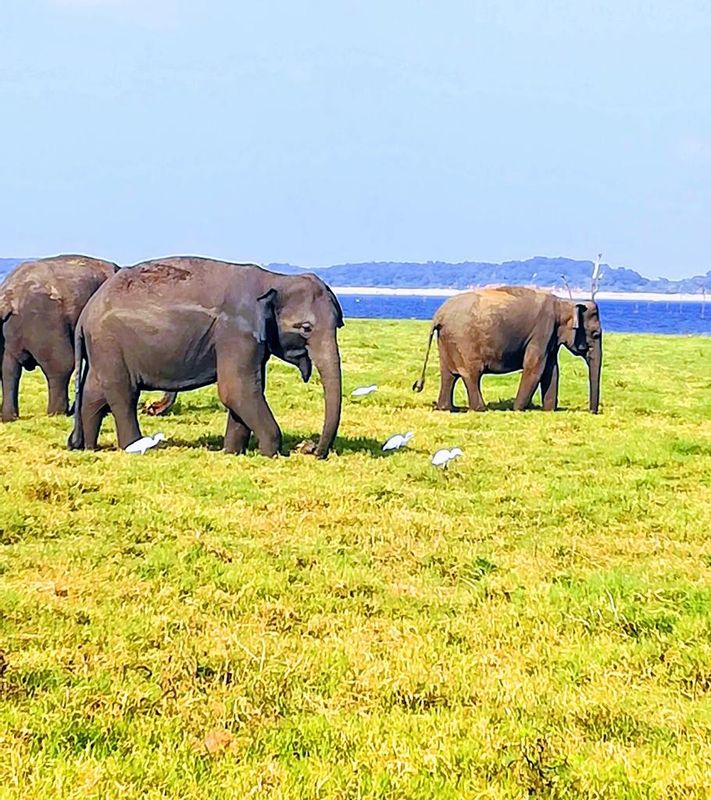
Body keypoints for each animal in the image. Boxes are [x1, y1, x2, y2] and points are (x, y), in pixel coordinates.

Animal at [0, 256, 119, 422]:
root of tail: (8, 295)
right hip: (45, 320)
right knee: (61, 364)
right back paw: (58, 413)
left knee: (9, 368)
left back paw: (9, 418)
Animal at [69, 256, 344, 456]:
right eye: (306, 328)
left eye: (339, 324)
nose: (311, 449)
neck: (275, 280)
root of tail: (86, 314)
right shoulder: (236, 333)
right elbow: (236, 390)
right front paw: (271, 454)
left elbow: (244, 391)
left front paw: (232, 453)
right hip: (110, 344)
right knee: (123, 395)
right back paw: (134, 447)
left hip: (103, 349)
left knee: (95, 395)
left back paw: (89, 448)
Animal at [414, 286, 604, 412]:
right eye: (596, 334)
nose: (592, 412)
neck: (563, 303)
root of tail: (439, 315)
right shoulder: (542, 331)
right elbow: (535, 368)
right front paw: (517, 409)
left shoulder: (550, 337)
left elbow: (551, 370)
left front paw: (549, 410)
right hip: (464, 341)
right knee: (471, 374)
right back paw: (480, 409)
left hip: (446, 341)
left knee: (448, 375)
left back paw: (446, 408)